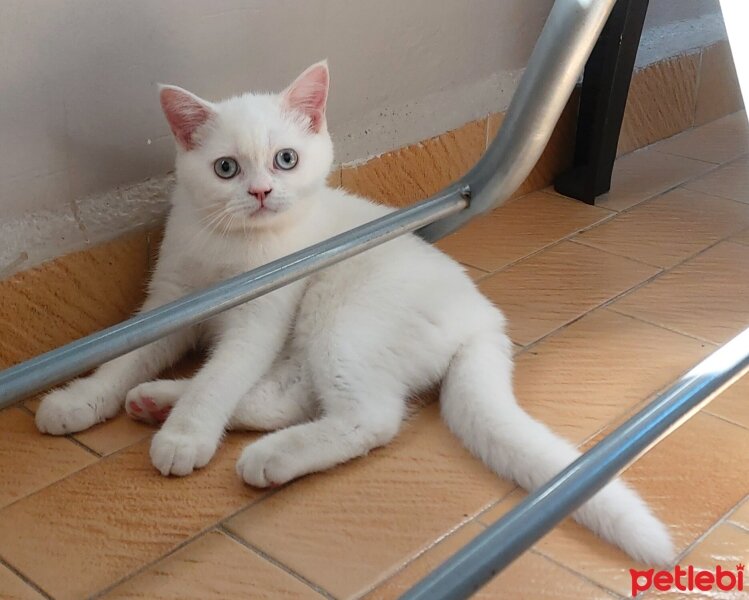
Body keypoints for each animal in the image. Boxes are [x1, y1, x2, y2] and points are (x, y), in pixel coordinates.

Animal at [35, 59, 676, 564]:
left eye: (286, 159)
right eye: (226, 169)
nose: (261, 193)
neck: (233, 250)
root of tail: (484, 320)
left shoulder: (260, 318)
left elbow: (220, 375)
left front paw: (188, 435)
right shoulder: (169, 302)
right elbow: (127, 358)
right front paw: (83, 398)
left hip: (343, 321)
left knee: (368, 416)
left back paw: (259, 452)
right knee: (287, 397)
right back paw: (157, 400)